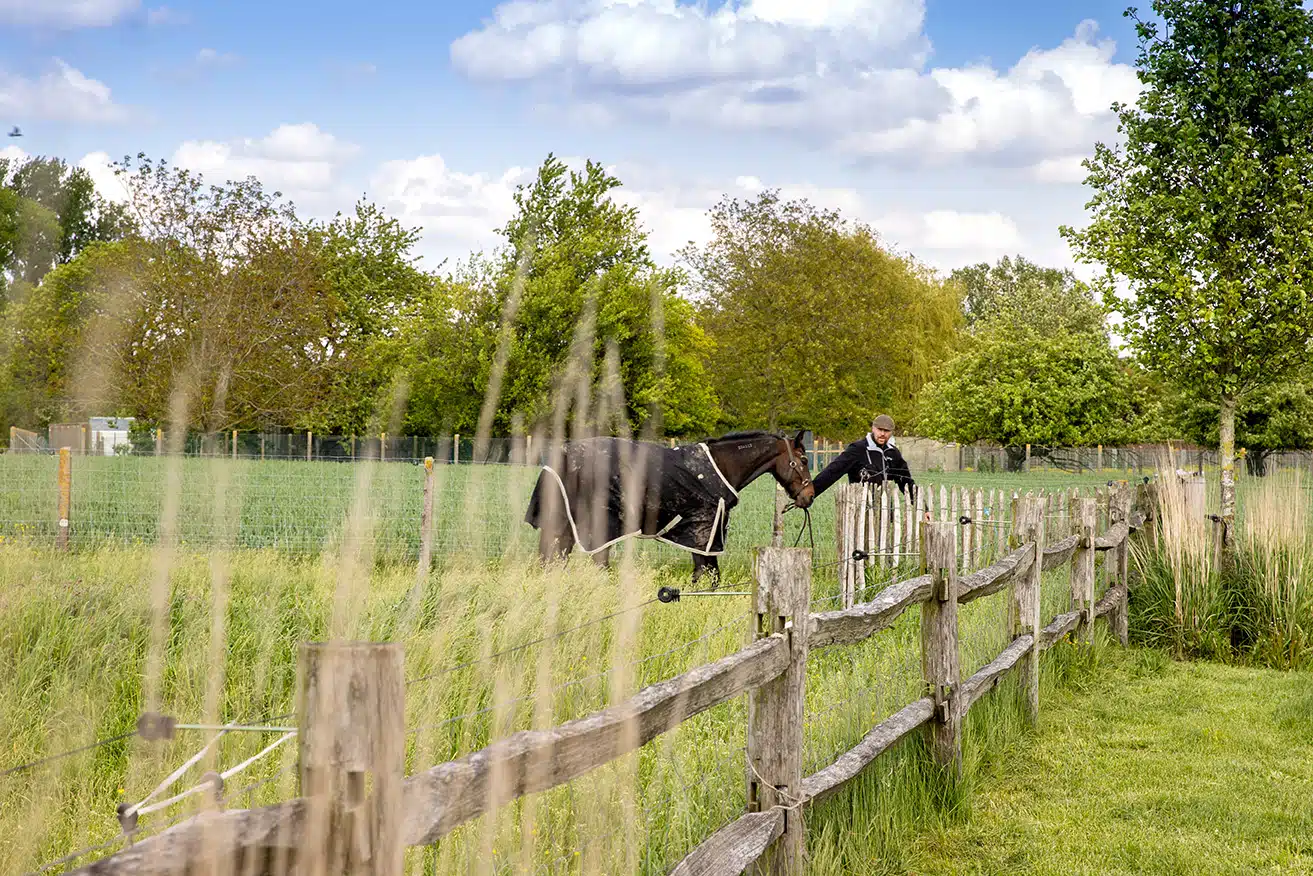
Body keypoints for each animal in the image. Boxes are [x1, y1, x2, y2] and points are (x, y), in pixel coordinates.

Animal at [523, 430, 815, 584]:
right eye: (803, 460)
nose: (809, 496)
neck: (720, 467)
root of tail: (558, 458)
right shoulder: (704, 531)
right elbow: (709, 575)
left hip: (564, 526)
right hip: (598, 526)